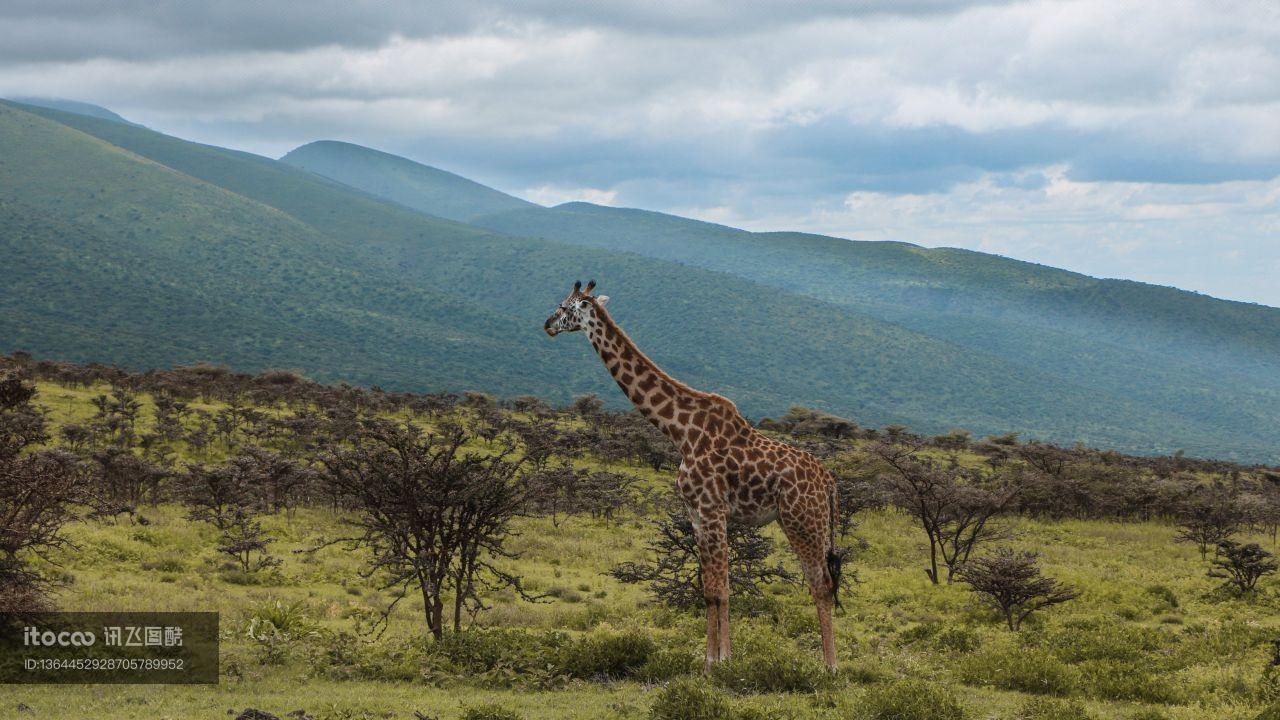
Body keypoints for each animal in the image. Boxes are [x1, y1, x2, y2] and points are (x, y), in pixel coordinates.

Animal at [545, 279, 844, 666]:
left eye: (565, 307)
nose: (547, 324)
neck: (680, 432)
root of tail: (830, 482)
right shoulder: (696, 514)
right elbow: (709, 590)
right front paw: (707, 662)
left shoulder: (713, 509)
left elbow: (723, 588)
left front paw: (724, 661)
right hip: (807, 522)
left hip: (802, 520)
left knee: (821, 584)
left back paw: (829, 666)